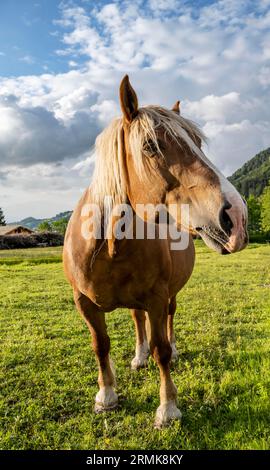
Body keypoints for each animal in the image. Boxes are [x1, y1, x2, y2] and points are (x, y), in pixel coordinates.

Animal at [62, 74, 247, 430]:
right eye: (150, 146)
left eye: (197, 143)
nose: (237, 217)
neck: (107, 249)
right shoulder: (84, 302)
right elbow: (100, 345)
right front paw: (107, 395)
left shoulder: (158, 297)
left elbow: (161, 349)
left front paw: (168, 409)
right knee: (137, 319)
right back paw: (139, 355)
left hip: (169, 294)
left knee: (170, 319)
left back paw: (170, 350)